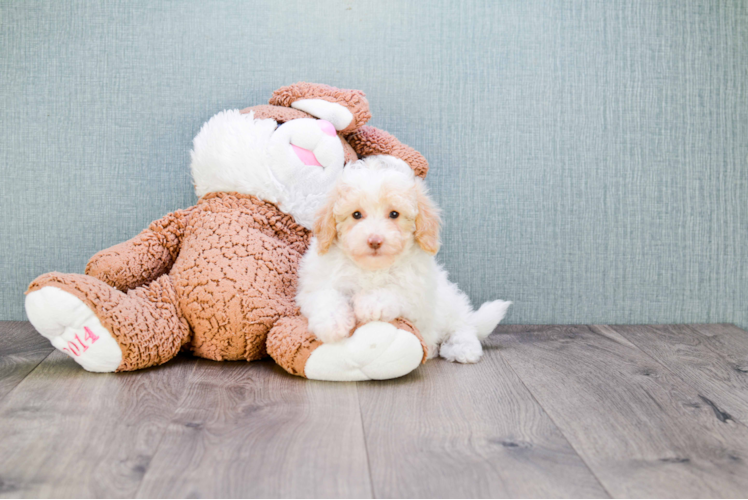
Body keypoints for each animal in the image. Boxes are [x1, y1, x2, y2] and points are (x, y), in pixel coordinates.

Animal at [296, 154, 512, 362]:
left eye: (394, 214)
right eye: (356, 215)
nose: (375, 240)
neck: (372, 269)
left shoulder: (417, 294)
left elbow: (395, 291)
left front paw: (369, 304)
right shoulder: (317, 282)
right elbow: (325, 296)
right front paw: (332, 323)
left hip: (450, 306)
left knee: (463, 327)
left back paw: (462, 349)